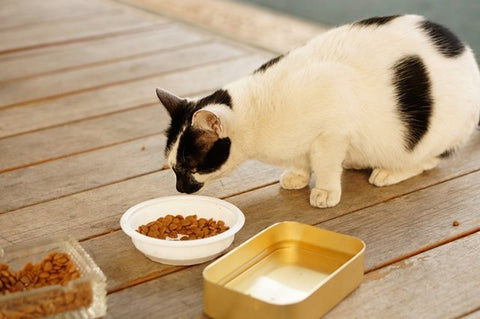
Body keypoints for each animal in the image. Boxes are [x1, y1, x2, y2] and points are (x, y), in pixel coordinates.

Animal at [157, 15, 480, 209]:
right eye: (173, 167)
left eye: (189, 167)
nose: (179, 189)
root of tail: (465, 51)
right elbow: (302, 161)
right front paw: (298, 175)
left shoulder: (332, 132)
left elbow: (324, 164)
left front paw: (325, 190)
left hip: (435, 135)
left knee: (429, 160)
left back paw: (389, 172)